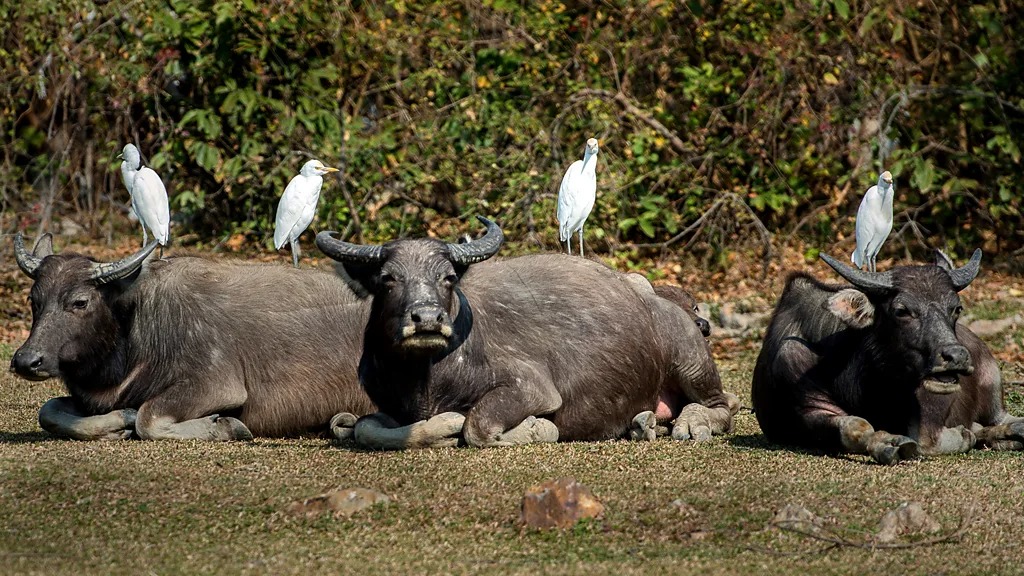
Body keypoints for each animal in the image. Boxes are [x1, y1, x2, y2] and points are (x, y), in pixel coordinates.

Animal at [9, 233, 374, 438]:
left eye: (80, 302)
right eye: (34, 300)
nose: (27, 360)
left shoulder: (214, 384)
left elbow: (148, 419)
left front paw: (224, 427)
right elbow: (48, 412)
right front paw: (117, 423)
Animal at [313, 215, 737, 448]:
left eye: (448, 278)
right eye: (388, 279)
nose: (428, 319)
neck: (426, 376)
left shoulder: (532, 388)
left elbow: (478, 426)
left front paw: (536, 428)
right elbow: (362, 427)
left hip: (690, 359)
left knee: (723, 404)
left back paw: (691, 423)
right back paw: (642, 424)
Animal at [749, 249, 1019, 463]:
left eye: (956, 308)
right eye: (901, 310)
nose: (957, 356)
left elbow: (926, 440)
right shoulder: (808, 405)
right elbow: (855, 425)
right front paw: (888, 444)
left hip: (993, 386)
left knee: (1000, 418)